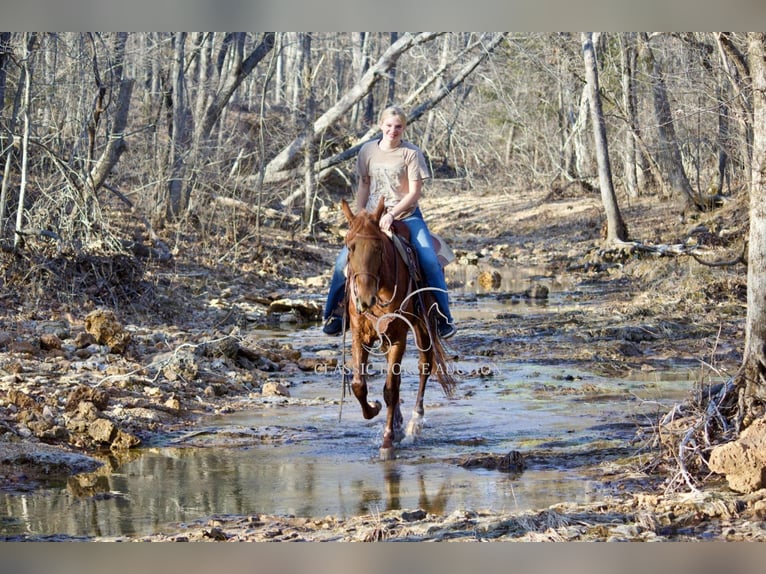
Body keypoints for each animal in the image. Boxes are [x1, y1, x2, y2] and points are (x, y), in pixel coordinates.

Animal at [340, 198, 456, 464]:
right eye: (350, 247)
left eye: (378, 248)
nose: (364, 299)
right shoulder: (360, 335)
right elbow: (359, 384)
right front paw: (374, 409)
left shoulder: (398, 337)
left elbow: (391, 389)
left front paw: (387, 441)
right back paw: (400, 421)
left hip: (424, 327)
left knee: (425, 366)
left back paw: (414, 423)